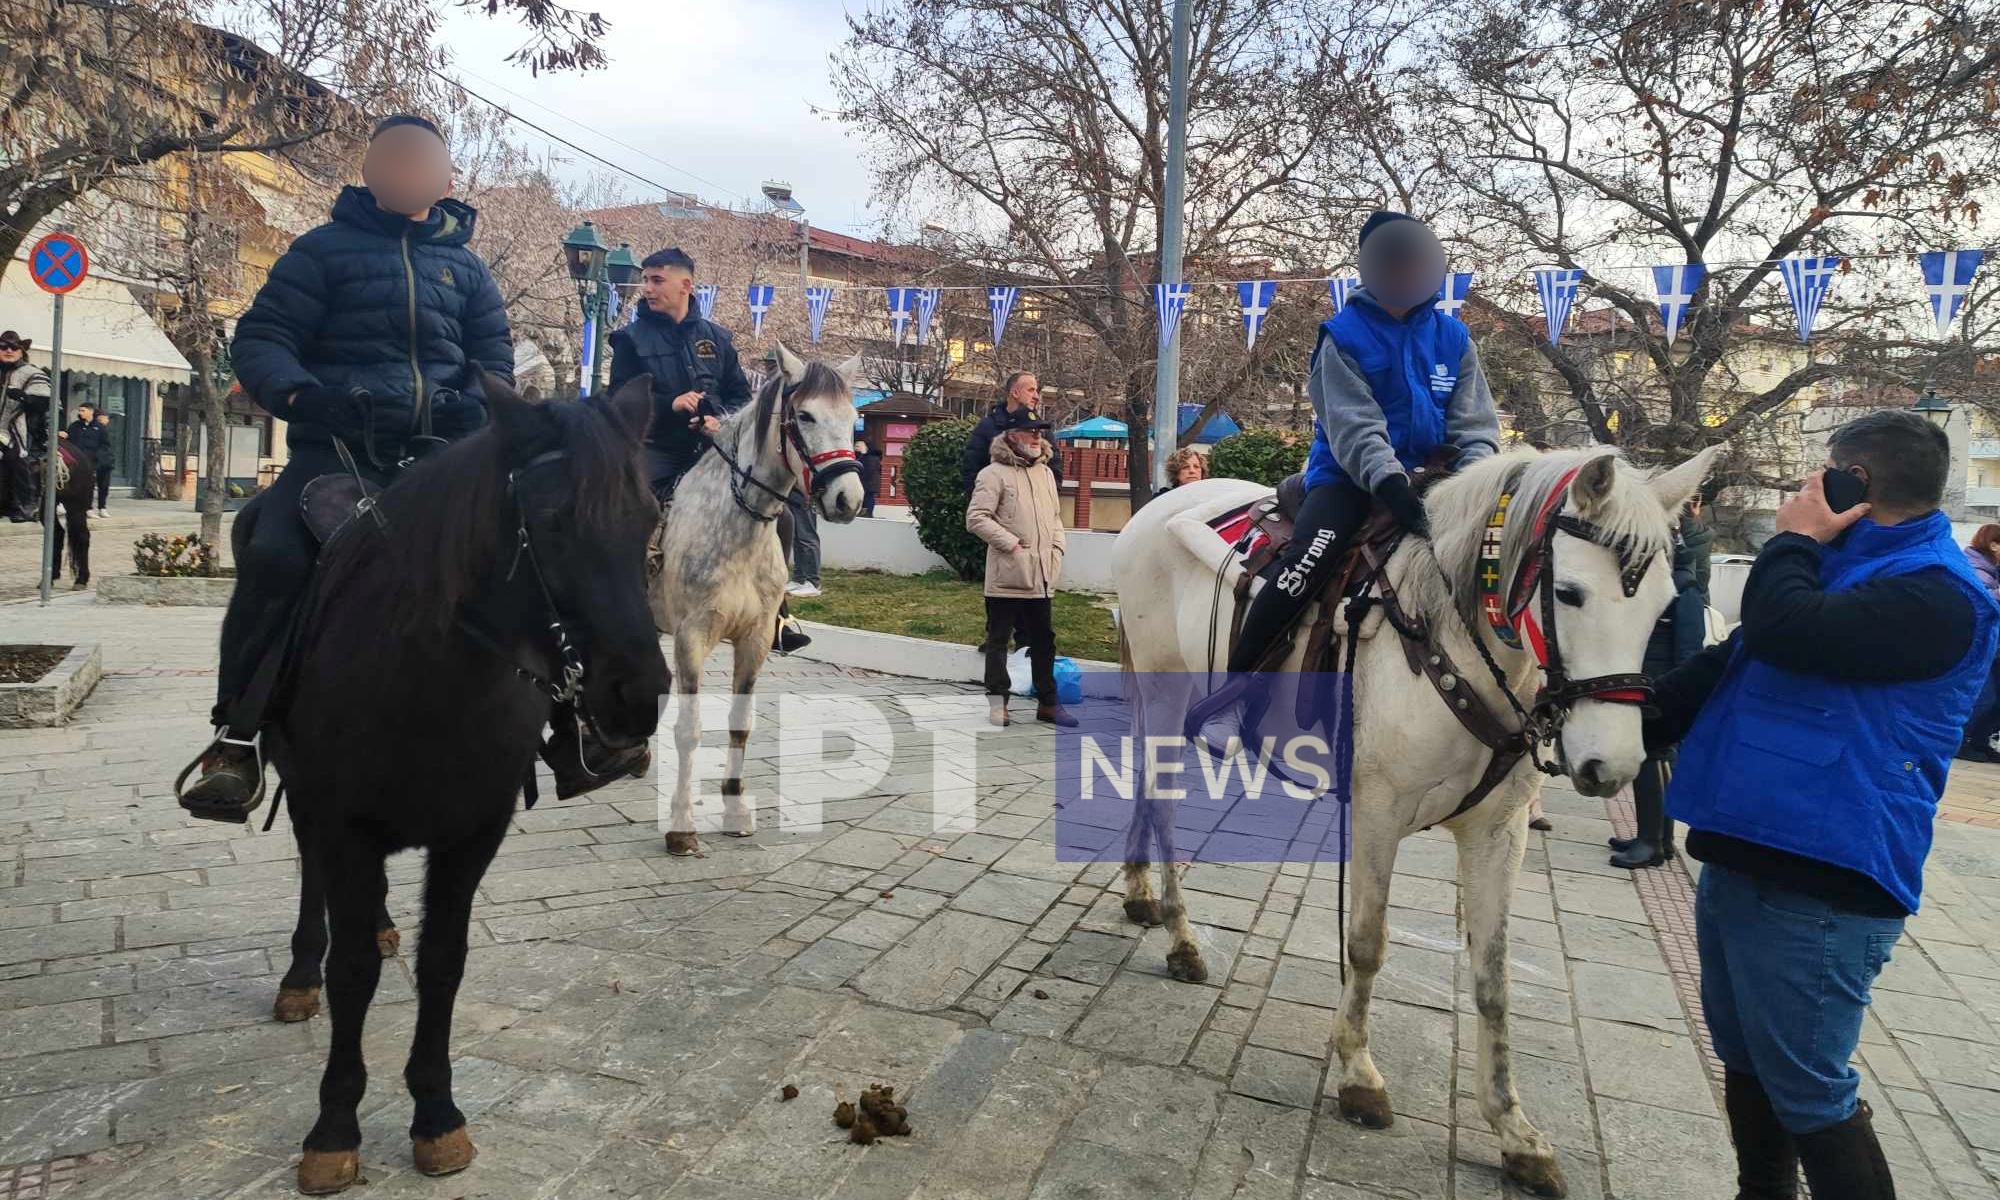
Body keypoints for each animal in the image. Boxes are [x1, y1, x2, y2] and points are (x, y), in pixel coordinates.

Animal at [262, 376, 672, 1192]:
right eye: (552, 522)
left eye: (648, 517)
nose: (639, 695)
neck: (428, 679)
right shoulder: (345, 825)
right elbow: (351, 971)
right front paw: (334, 1127)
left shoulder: (471, 834)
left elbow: (442, 965)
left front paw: (436, 1114)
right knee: (313, 879)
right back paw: (300, 971)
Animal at [644, 342, 856, 856]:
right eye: (805, 415)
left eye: (854, 418)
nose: (849, 498)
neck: (736, 524)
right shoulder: (691, 637)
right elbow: (689, 729)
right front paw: (681, 825)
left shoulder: (755, 639)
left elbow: (741, 722)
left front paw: (736, 809)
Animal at [1120, 446, 1712, 1192]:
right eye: (1571, 593)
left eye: (1664, 608)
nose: (1613, 764)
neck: (1457, 643)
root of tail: (1158, 506)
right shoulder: (1378, 813)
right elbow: (1367, 945)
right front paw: (1358, 1074)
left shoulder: (1498, 834)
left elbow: (1492, 974)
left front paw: (1514, 1131)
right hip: (1167, 693)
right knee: (1163, 804)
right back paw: (1181, 937)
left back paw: (1139, 895)